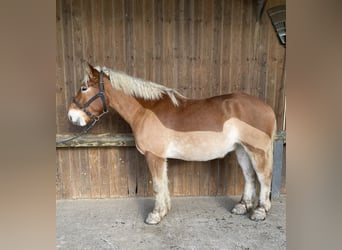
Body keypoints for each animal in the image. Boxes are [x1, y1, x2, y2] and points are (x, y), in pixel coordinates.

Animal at [68, 63, 276, 224]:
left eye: (84, 88)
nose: (71, 116)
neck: (146, 111)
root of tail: (268, 108)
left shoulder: (154, 156)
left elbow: (157, 184)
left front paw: (155, 215)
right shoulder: (161, 157)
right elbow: (164, 183)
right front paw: (164, 209)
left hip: (257, 150)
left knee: (264, 177)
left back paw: (260, 211)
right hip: (242, 149)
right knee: (249, 176)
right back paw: (242, 206)